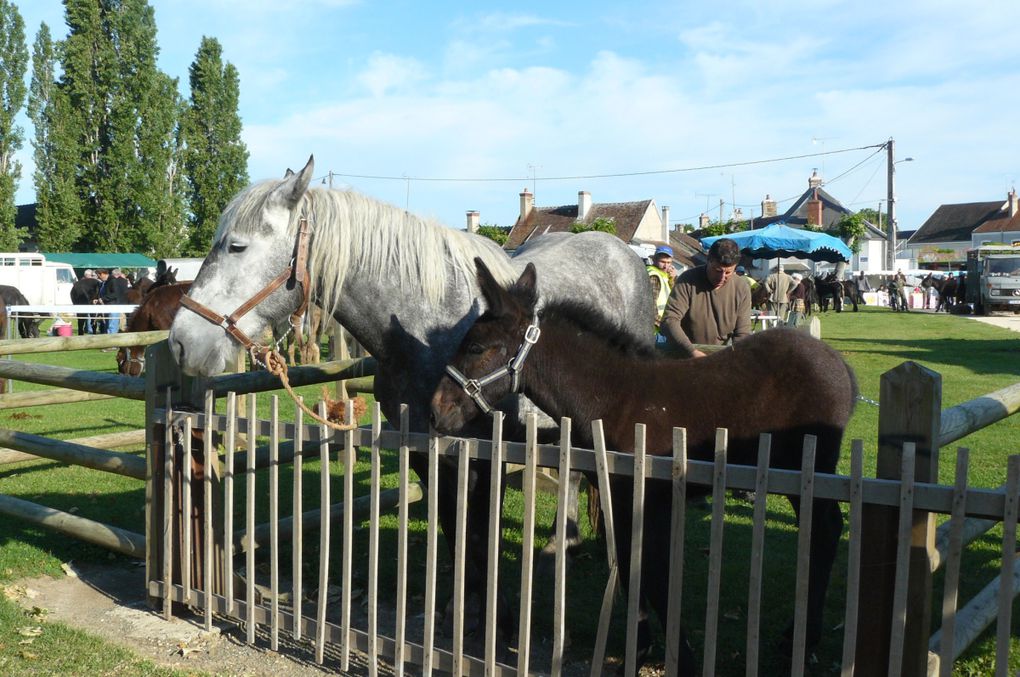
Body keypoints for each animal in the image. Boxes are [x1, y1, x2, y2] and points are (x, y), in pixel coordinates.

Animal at [426, 257, 856, 672]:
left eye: (477, 347)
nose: (435, 412)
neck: (612, 397)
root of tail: (837, 364)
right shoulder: (620, 494)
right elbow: (633, 568)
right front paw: (644, 644)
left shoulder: (644, 497)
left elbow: (650, 571)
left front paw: (678, 655)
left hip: (809, 468)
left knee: (826, 531)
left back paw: (801, 638)